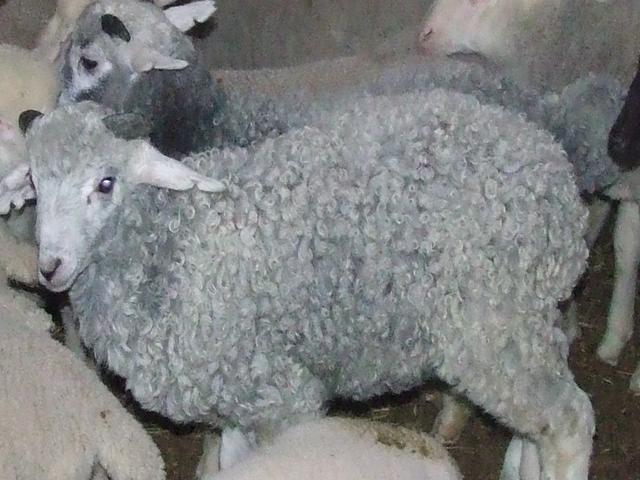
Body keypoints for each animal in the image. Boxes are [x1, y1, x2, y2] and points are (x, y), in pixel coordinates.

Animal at [3, 93, 593, 480]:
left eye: (105, 183)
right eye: (34, 181)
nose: (50, 268)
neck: (177, 246)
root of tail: (555, 172)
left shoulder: (280, 397)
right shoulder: (236, 400)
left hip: (494, 324)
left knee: (568, 421)